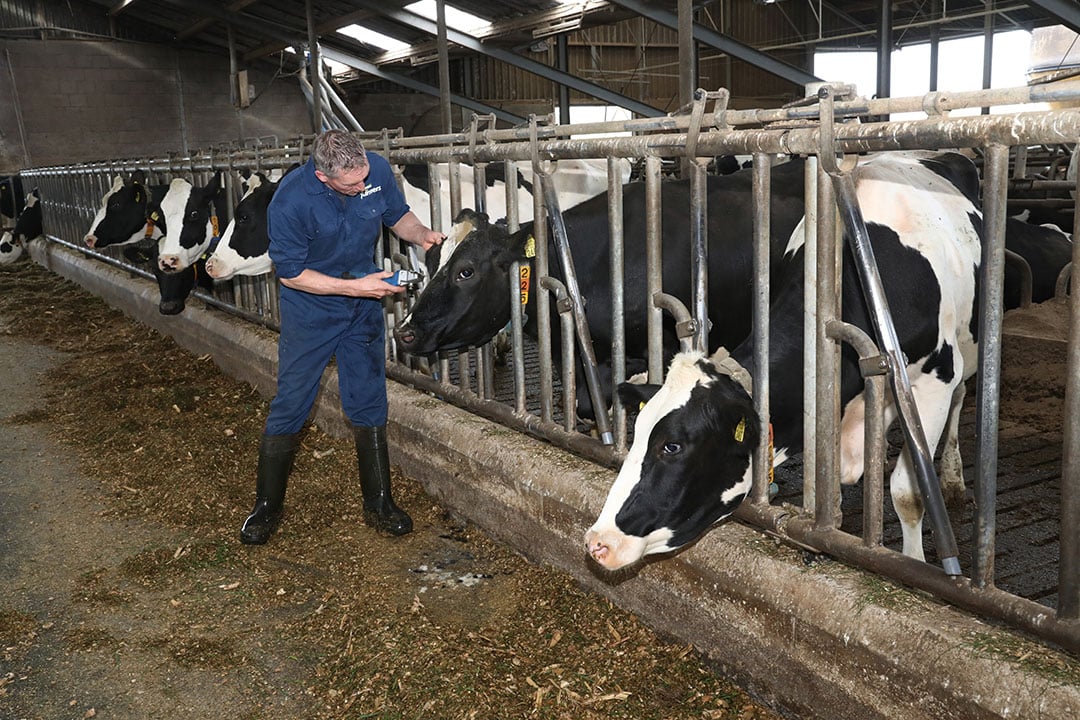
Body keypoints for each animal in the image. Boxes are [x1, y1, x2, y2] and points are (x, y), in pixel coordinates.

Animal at [583, 151, 989, 569]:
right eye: (637, 432)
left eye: (672, 446)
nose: (599, 542)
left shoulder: (935, 380)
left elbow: (909, 494)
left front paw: (916, 563)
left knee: (961, 398)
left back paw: (952, 479)